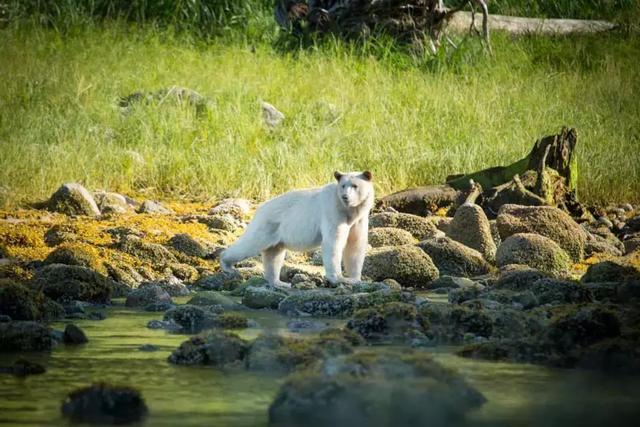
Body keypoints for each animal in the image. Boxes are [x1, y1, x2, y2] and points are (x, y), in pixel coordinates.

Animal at [221, 171, 376, 288]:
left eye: (355, 185)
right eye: (343, 186)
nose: (345, 197)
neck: (349, 210)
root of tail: (259, 209)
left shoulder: (358, 220)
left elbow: (355, 244)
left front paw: (355, 278)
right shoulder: (333, 211)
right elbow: (333, 242)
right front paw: (339, 278)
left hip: (275, 231)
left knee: (273, 254)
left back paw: (279, 282)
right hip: (266, 225)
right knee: (250, 244)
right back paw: (226, 264)